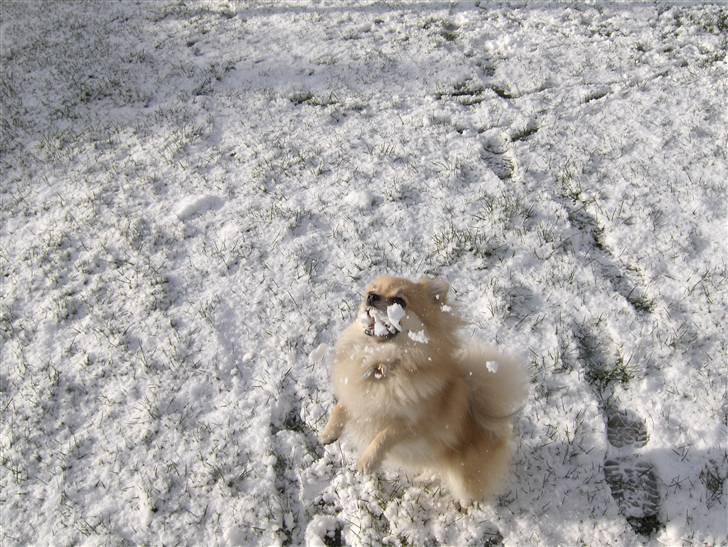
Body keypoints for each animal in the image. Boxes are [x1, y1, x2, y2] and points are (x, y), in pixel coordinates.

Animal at [322, 278, 528, 506]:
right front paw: (329, 432)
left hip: (462, 478)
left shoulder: (415, 425)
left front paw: (368, 461)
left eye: (399, 301)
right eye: (372, 291)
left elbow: (385, 435)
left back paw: (463, 505)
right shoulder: (355, 396)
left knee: (468, 492)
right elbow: (341, 407)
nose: (371, 297)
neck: (382, 364)